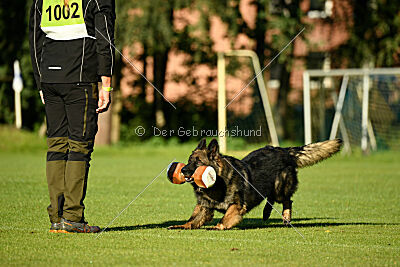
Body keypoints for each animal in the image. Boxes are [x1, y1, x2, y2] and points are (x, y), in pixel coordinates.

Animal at [167, 138, 342, 230]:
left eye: (197, 162)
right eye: (189, 161)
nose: (183, 170)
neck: (218, 183)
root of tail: (284, 150)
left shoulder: (236, 206)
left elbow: (225, 217)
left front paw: (218, 226)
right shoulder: (204, 207)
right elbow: (192, 219)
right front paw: (180, 226)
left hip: (279, 187)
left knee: (287, 200)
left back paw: (286, 217)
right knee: (270, 198)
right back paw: (266, 212)